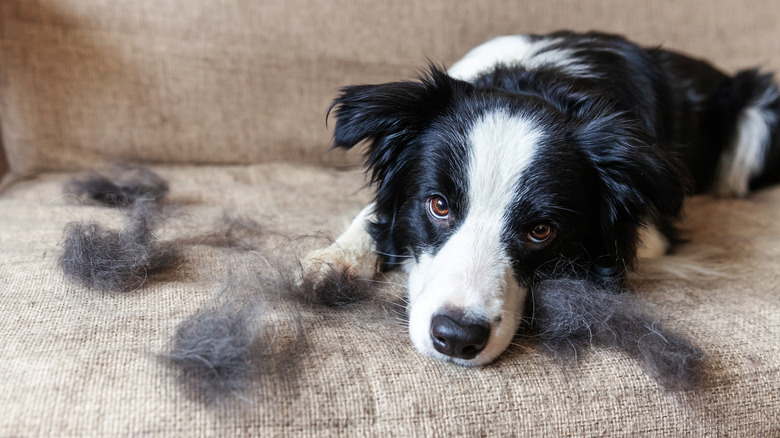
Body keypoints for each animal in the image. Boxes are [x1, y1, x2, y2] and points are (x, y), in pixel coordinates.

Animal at [300, 30, 780, 366]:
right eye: (438, 205)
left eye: (541, 230)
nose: (456, 338)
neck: (537, 84)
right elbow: (375, 214)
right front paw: (335, 260)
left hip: (758, 116)